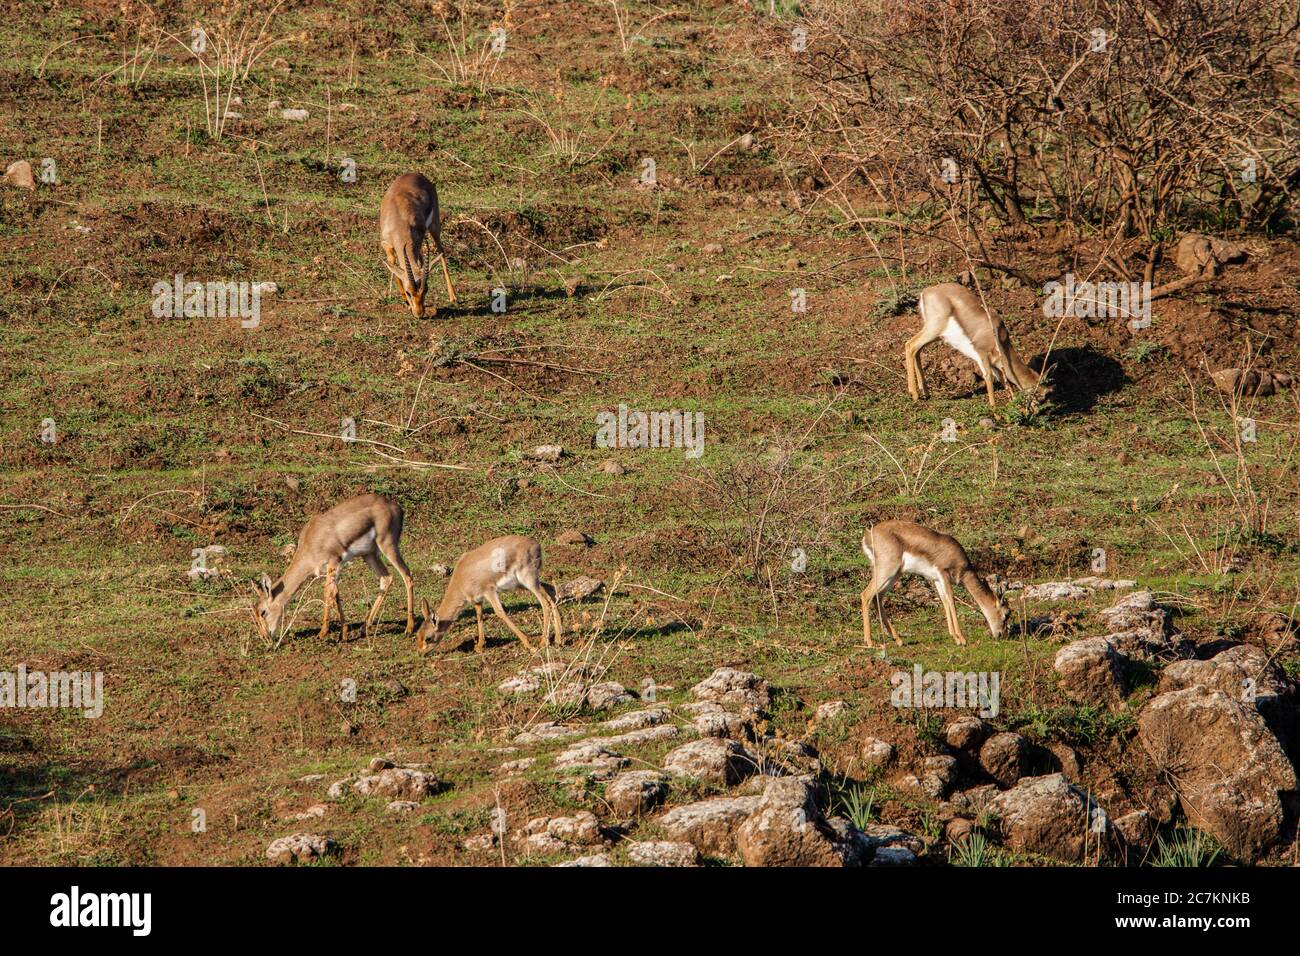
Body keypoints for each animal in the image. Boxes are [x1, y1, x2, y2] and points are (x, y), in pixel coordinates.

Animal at [250, 493, 416, 649]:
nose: (266, 637)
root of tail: (396, 506)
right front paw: (343, 634)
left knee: (407, 575)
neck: (311, 542)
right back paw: (364, 628)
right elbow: (336, 594)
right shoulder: (333, 569)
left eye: (263, 611)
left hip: (387, 545)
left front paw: (322, 633)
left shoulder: (334, 562)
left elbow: (327, 593)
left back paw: (409, 628)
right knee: (386, 578)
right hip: (369, 555)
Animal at [379, 172, 457, 318]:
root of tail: (417, 174)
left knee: (441, 252)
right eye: (409, 292)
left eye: (426, 290)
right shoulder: (386, 244)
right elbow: (393, 265)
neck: (398, 222)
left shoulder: (417, 242)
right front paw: (403, 300)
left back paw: (453, 297)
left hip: (434, 227)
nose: (419, 313)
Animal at [415, 535, 562, 655]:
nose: (421, 654)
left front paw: (529, 645)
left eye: (428, 637)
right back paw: (558, 640)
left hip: (528, 580)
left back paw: (543, 642)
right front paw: (480, 646)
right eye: (418, 635)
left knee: (545, 603)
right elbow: (479, 616)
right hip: (526, 583)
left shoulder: (489, 591)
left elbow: (500, 613)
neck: (461, 578)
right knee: (551, 592)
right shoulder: (477, 600)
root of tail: (535, 543)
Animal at [860, 520, 1009, 648]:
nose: (1002, 635)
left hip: (894, 574)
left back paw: (898, 640)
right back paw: (869, 642)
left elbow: (944, 601)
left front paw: (955, 637)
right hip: (887, 570)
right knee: (866, 595)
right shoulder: (943, 574)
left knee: (877, 597)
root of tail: (869, 534)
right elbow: (951, 601)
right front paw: (962, 638)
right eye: (1007, 613)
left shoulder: (937, 579)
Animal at [905, 282, 1047, 408]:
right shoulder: (982, 354)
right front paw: (994, 408)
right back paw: (914, 394)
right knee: (910, 345)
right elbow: (988, 376)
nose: (1036, 410)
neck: (999, 337)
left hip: (935, 336)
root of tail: (926, 291)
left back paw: (925, 392)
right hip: (933, 330)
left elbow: (1003, 379)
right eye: (1039, 394)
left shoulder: (994, 363)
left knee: (917, 350)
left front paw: (1014, 403)